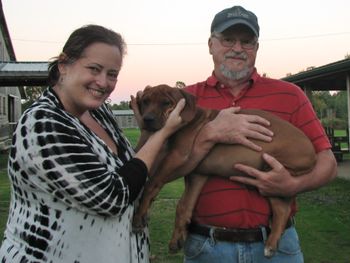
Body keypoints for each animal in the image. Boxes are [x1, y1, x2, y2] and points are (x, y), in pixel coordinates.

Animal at [132, 84, 318, 258]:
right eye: (145, 101)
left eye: (166, 102)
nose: (147, 119)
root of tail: (313, 155)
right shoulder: (197, 173)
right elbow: (184, 205)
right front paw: (177, 238)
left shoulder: (179, 158)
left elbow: (152, 183)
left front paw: (138, 215)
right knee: (282, 209)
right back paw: (272, 244)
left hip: (271, 171)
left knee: (282, 208)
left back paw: (271, 244)